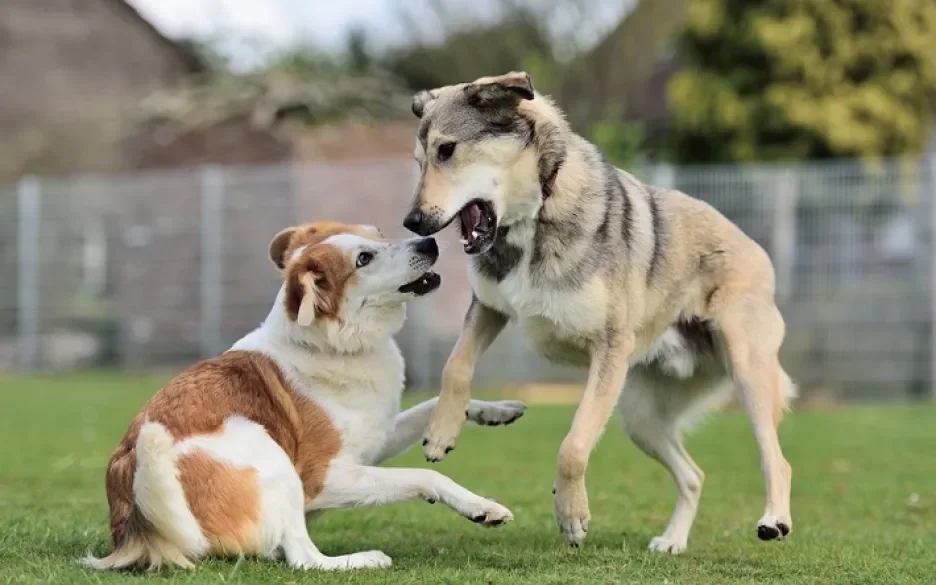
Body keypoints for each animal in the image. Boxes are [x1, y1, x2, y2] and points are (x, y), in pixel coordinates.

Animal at [83, 220, 524, 572]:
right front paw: (482, 507)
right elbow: (426, 475)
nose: (430, 242)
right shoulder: (325, 477)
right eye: (364, 259)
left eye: (378, 235)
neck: (335, 345)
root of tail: (139, 531)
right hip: (272, 458)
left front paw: (491, 413)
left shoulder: (374, 444)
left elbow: (430, 409)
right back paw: (363, 559)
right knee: (304, 558)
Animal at [402, 72, 796, 552]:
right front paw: (441, 433)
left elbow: (574, 446)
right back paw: (672, 541)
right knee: (694, 475)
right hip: (641, 418)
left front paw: (571, 515)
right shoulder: (489, 308)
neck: (538, 209)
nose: (411, 223)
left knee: (776, 460)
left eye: (447, 150)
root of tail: (758, 251)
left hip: (745, 371)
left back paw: (774, 519)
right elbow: (455, 366)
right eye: (419, 160)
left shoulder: (608, 349)